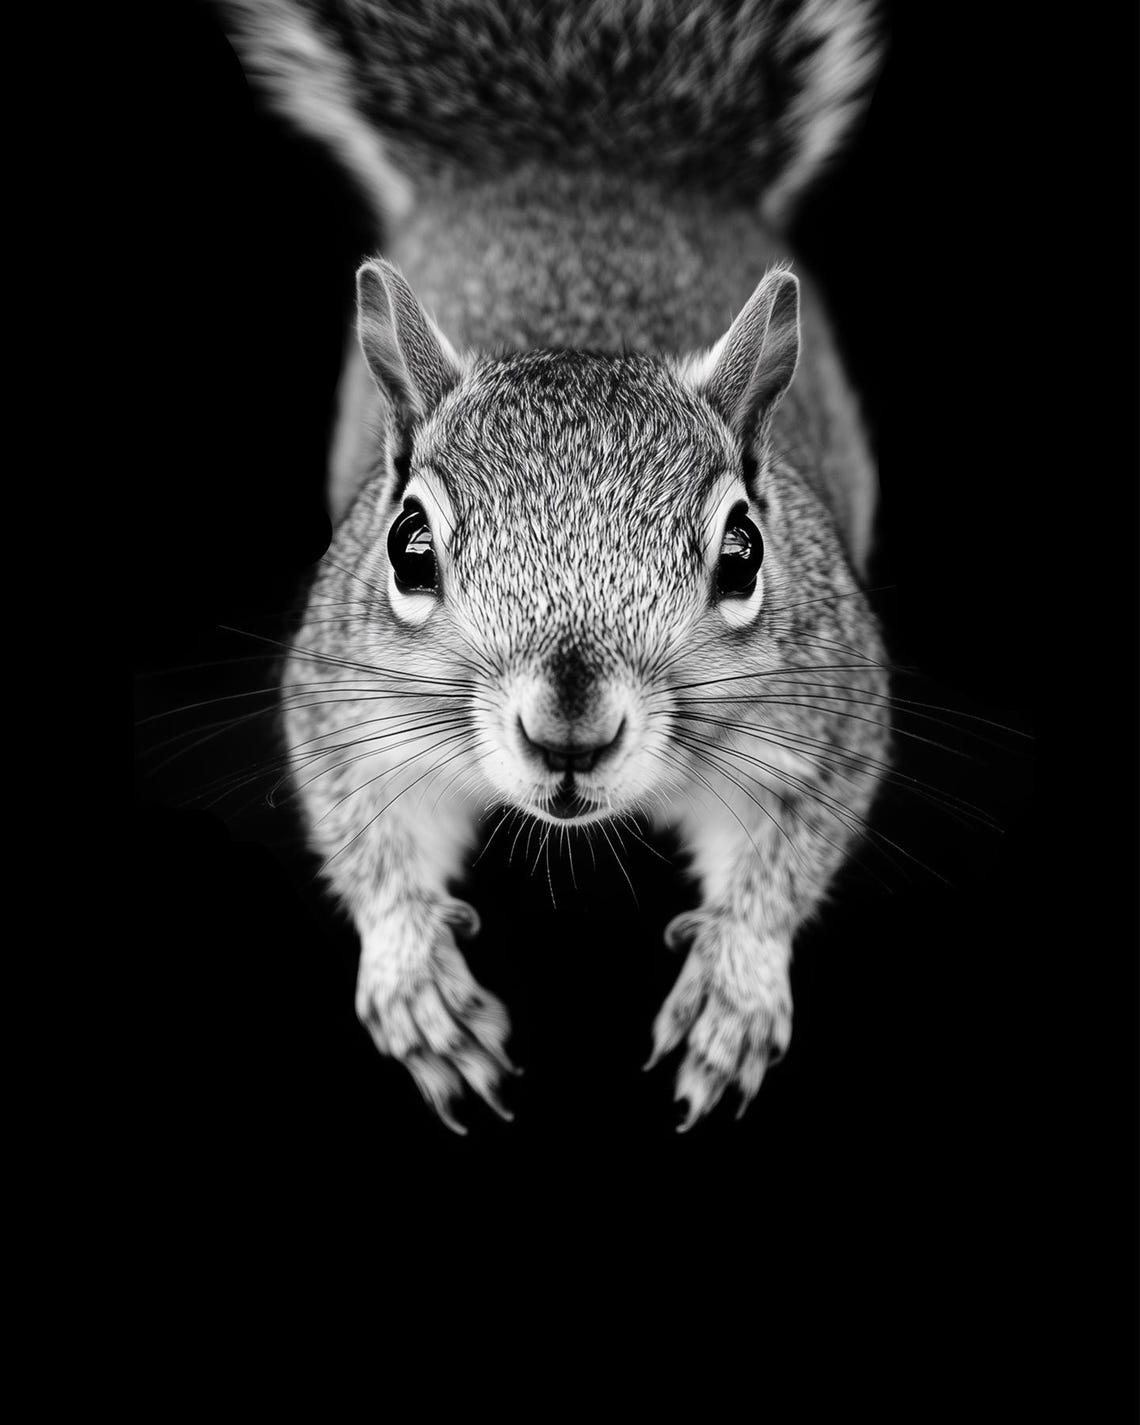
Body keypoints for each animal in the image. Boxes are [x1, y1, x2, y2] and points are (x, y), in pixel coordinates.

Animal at [217, 0, 889, 1132]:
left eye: (745, 552)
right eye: (407, 544)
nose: (567, 733)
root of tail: (586, 158)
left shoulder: (830, 710)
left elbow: (790, 851)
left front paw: (735, 986)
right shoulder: (343, 700)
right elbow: (362, 826)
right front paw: (416, 981)